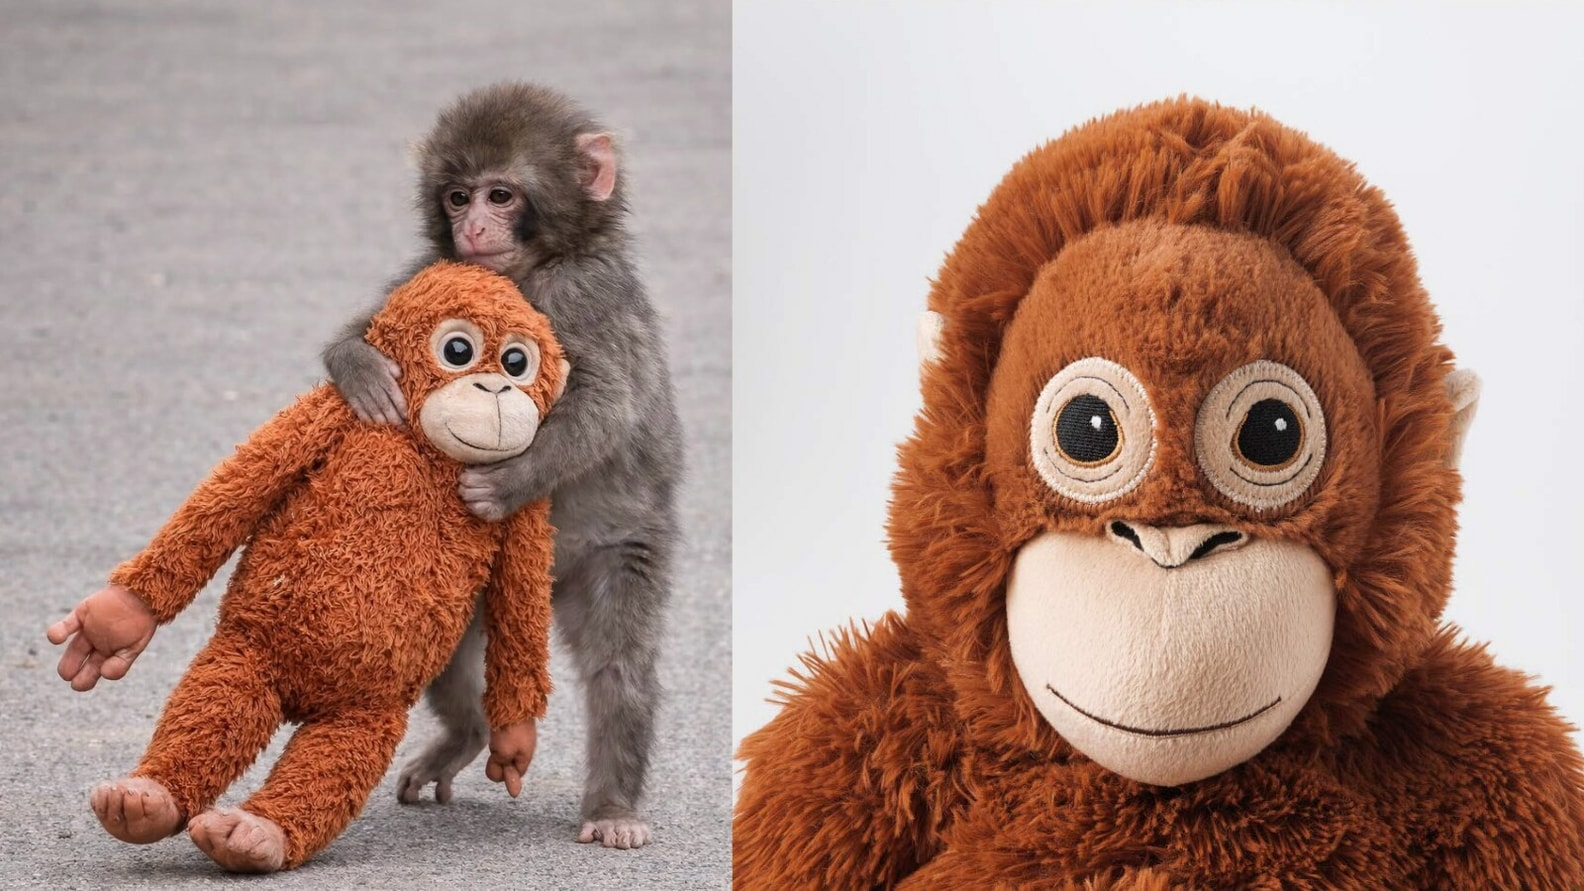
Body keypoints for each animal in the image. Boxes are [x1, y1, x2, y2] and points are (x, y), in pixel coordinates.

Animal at [322, 82, 680, 849]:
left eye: (501, 194)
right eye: (457, 196)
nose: (474, 228)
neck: (530, 271)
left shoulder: (588, 291)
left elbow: (607, 402)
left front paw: (508, 482)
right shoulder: (436, 276)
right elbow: (372, 328)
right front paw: (360, 367)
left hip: (615, 553)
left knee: (618, 669)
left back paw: (612, 806)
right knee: (445, 652)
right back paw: (470, 733)